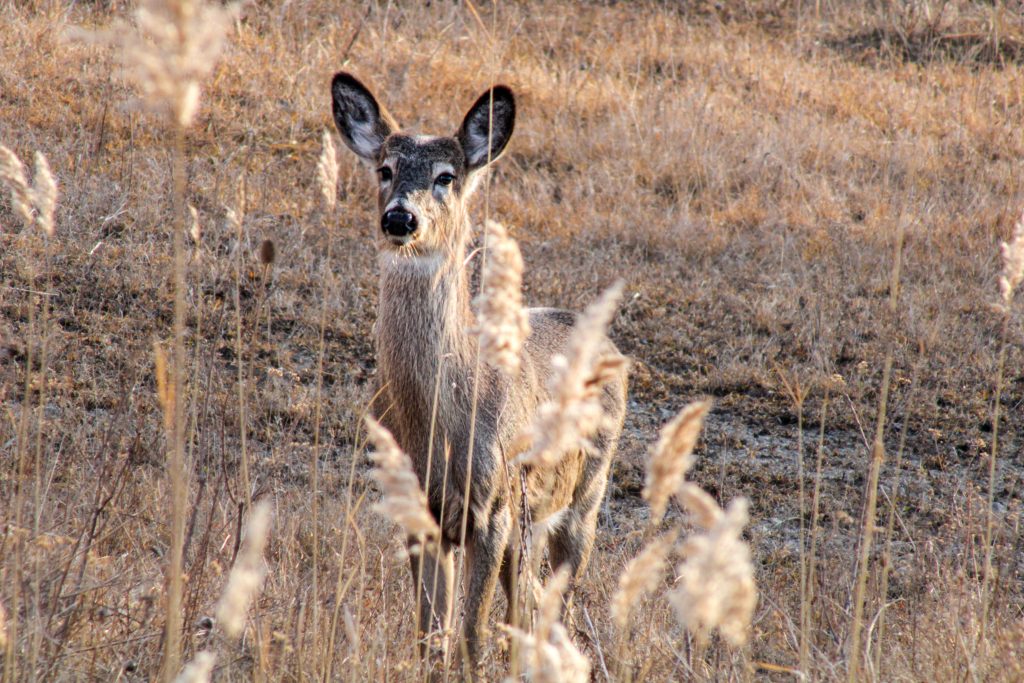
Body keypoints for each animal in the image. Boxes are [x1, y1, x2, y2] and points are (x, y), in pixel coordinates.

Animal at [330, 71, 628, 673]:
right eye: (384, 169)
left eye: (446, 176)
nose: (400, 217)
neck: (437, 428)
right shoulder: (419, 513)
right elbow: (429, 636)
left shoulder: (491, 509)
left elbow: (471, 634)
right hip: (529, 520)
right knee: (527, 607)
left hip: (583, 496)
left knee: (552, 605)